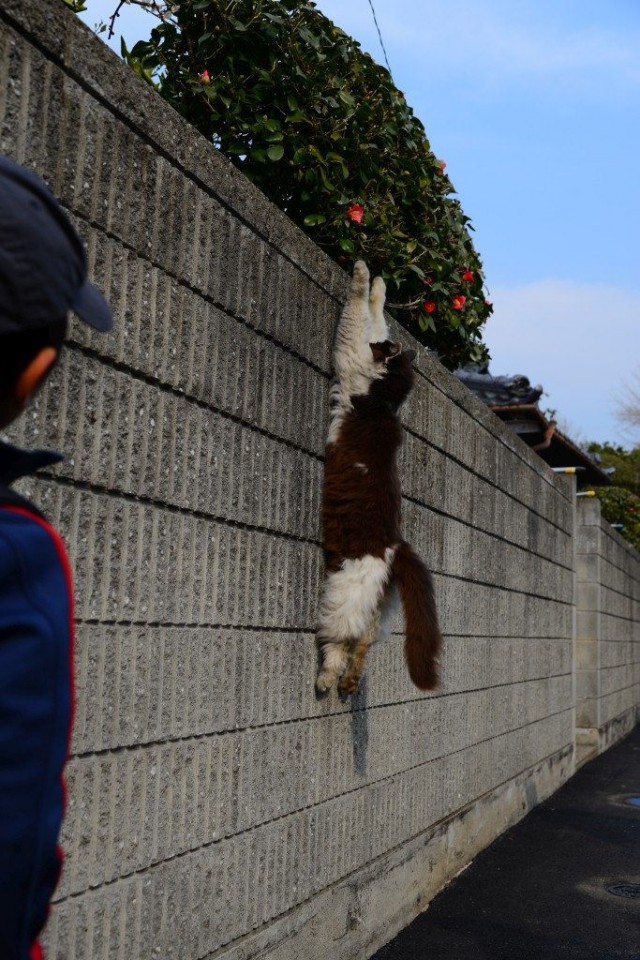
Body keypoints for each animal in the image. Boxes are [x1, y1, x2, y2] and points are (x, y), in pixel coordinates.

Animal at [316, 260, 444, 696]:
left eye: (385, 350)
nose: (387, 347)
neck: (384, 400)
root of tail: (396, 547)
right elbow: (375, 311)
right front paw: (380, 282)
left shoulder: (351, 352)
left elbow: (357, 312)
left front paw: (359, 272)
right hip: (379, 603)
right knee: (366, 640)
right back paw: (349, 681)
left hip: (347, 590)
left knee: (343, 637)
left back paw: (327, 678)